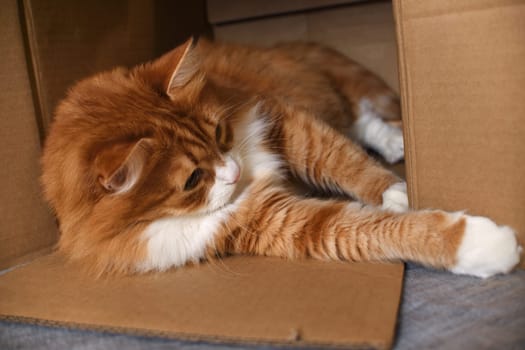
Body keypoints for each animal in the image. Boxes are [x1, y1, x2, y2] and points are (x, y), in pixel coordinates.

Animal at [42, 38, 520, 278]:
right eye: (193, 180)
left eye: (220, 133)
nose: (234, 171)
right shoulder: (273, 221)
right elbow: (368, 229)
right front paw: (483, 245)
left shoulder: (280, 119)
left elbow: (341, 160)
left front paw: (394, 191)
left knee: (360, 117)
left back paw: (395, 142)